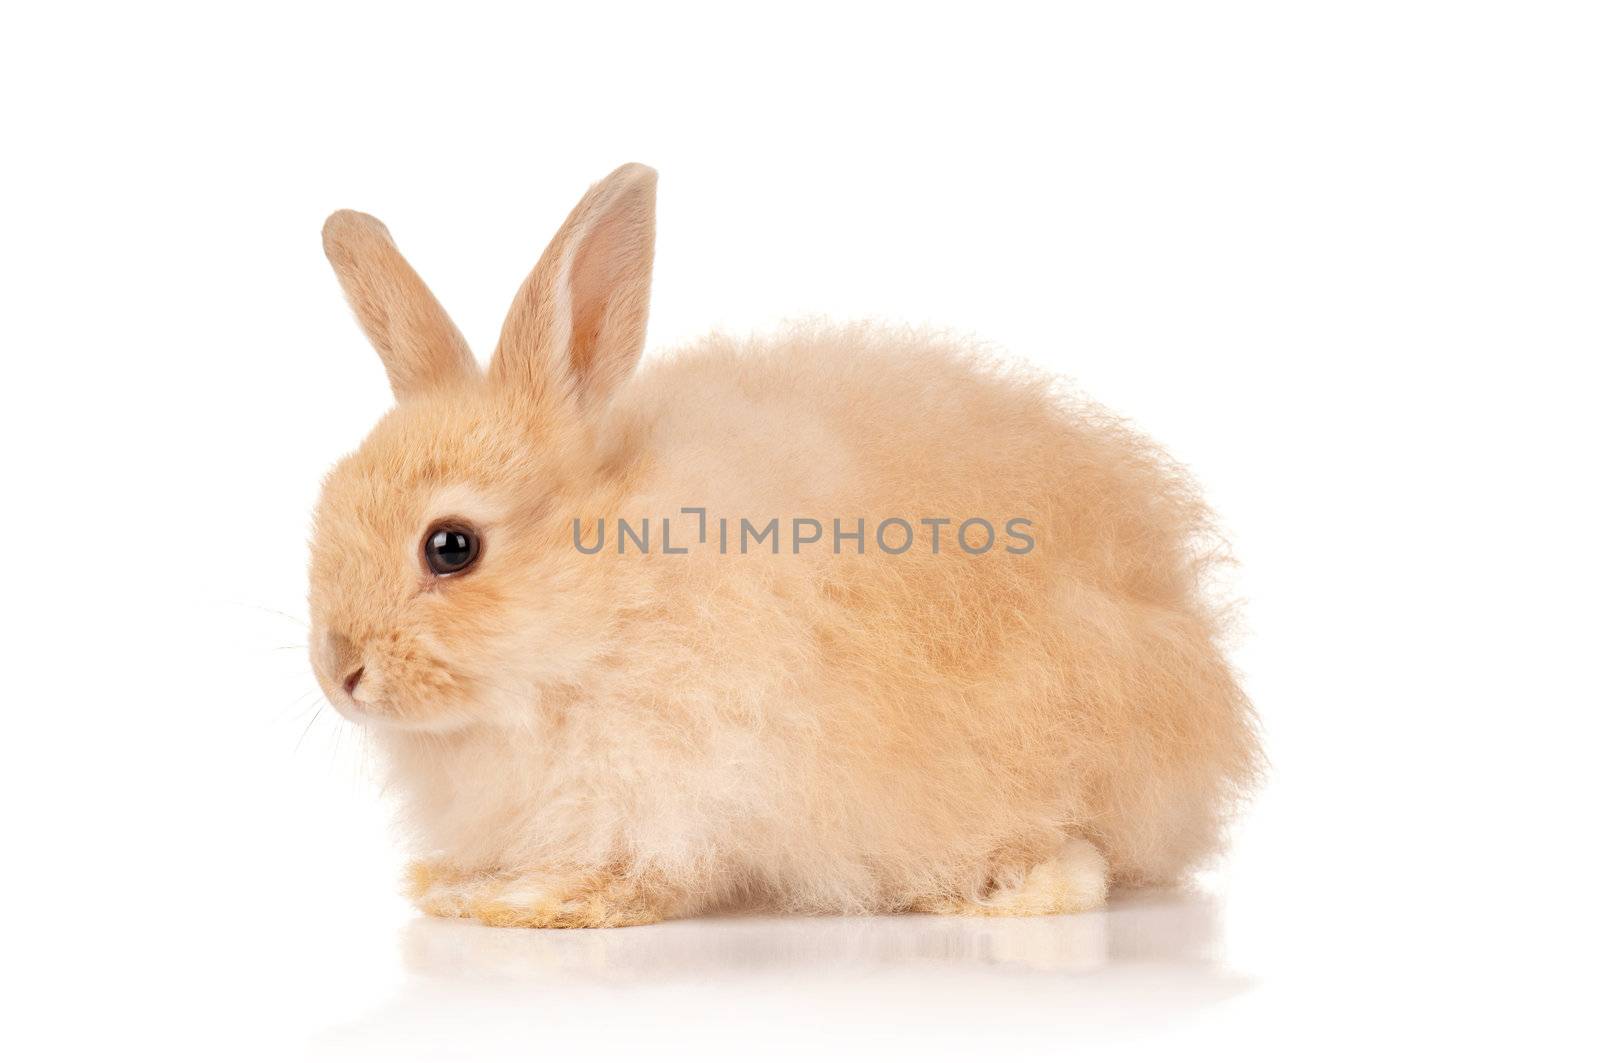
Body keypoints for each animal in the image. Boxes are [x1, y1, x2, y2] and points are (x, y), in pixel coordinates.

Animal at [308, 161, 1260, 928]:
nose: (340, 672)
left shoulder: (676, 778)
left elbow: (646, 866)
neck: (607, 602)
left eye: (451, 546)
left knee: (1080, 865)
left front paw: (528, 899)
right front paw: (451, 884)